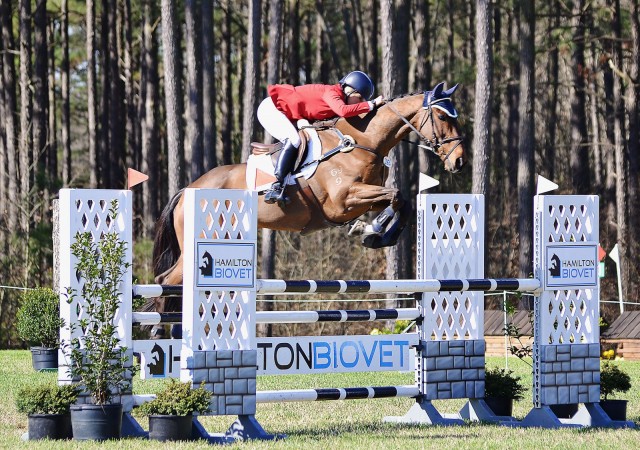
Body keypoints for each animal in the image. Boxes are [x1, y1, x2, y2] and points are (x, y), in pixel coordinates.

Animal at [153, 81, 468, 298]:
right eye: (443, 117)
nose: (459, 161)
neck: (363, 141)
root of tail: (187, 190)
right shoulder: (343, 202)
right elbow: (397, 196)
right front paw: (375, 230)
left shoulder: (364, 197)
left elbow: (401, 202)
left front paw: (373, 232)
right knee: (166, 282)